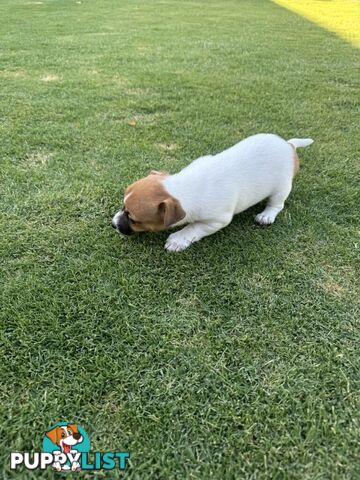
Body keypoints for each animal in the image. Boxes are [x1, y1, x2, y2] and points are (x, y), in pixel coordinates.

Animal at [112, 131, 312, 251]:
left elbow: (193, 227)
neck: (182, 188)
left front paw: (178, 239)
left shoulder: (216, 220)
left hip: (281, 188)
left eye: (133, 219)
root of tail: (289, 146)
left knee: (277, 204)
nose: (113, 224)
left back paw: (266, 215)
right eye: (123, 207)